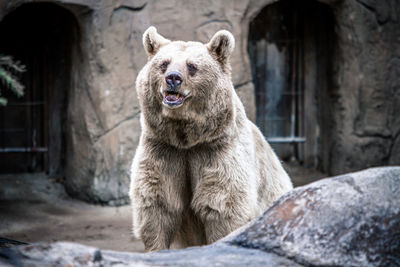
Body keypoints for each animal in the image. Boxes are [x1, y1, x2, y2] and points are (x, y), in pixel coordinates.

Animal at [130, 26, 292, 252]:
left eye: (192, 66)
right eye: (164, 64)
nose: (173, 78)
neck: (186, 137)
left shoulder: (217, 150)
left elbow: (223, 206)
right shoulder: (164, 149)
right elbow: (158, 205)